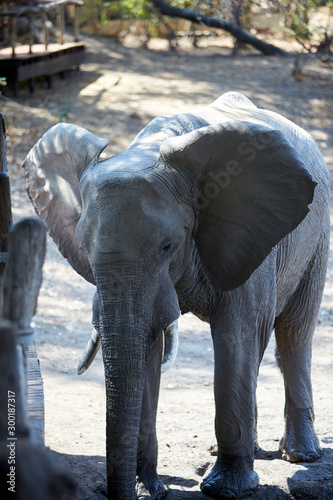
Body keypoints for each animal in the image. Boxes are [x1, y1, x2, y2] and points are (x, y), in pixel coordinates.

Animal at [22, 91, 328, 500]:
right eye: (84, 249)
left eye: (167, 246)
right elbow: (147, 349)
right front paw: (146, 489)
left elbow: (238, 335)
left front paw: (226, 489)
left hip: (318, 234)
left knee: (294, 334)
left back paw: (300, 455)